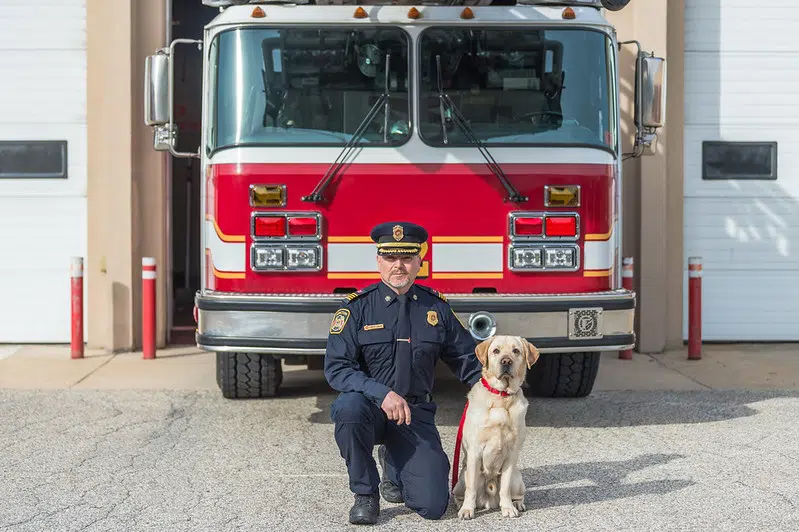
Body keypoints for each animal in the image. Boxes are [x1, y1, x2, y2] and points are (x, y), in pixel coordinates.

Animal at [454, 336, 540, 520]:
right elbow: (471, 489)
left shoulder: (511, 454)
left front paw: (508, 508)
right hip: (461, 479)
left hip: (516, 478)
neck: (502, 397)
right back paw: (461, 504)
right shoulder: (475, 452)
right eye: (496, 351)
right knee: (463, 492)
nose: (506, 361)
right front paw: (467, 510)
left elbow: (505, 489)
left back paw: (517, 504)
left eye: (516, 351)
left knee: (515, 493)